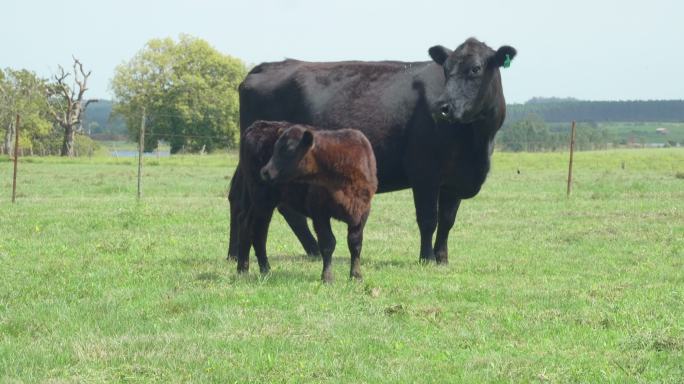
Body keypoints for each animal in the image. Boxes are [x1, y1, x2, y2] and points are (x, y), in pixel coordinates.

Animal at [227, 36, 516, 264]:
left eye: (475, 69)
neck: (475, 143)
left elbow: (447, 220)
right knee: (249, 203)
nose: (443, 107)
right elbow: (428, 219)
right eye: (446, 70)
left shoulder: (455, 178)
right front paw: (426, 257)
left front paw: (442, 257)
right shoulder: (424, 171)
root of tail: (267, 66)